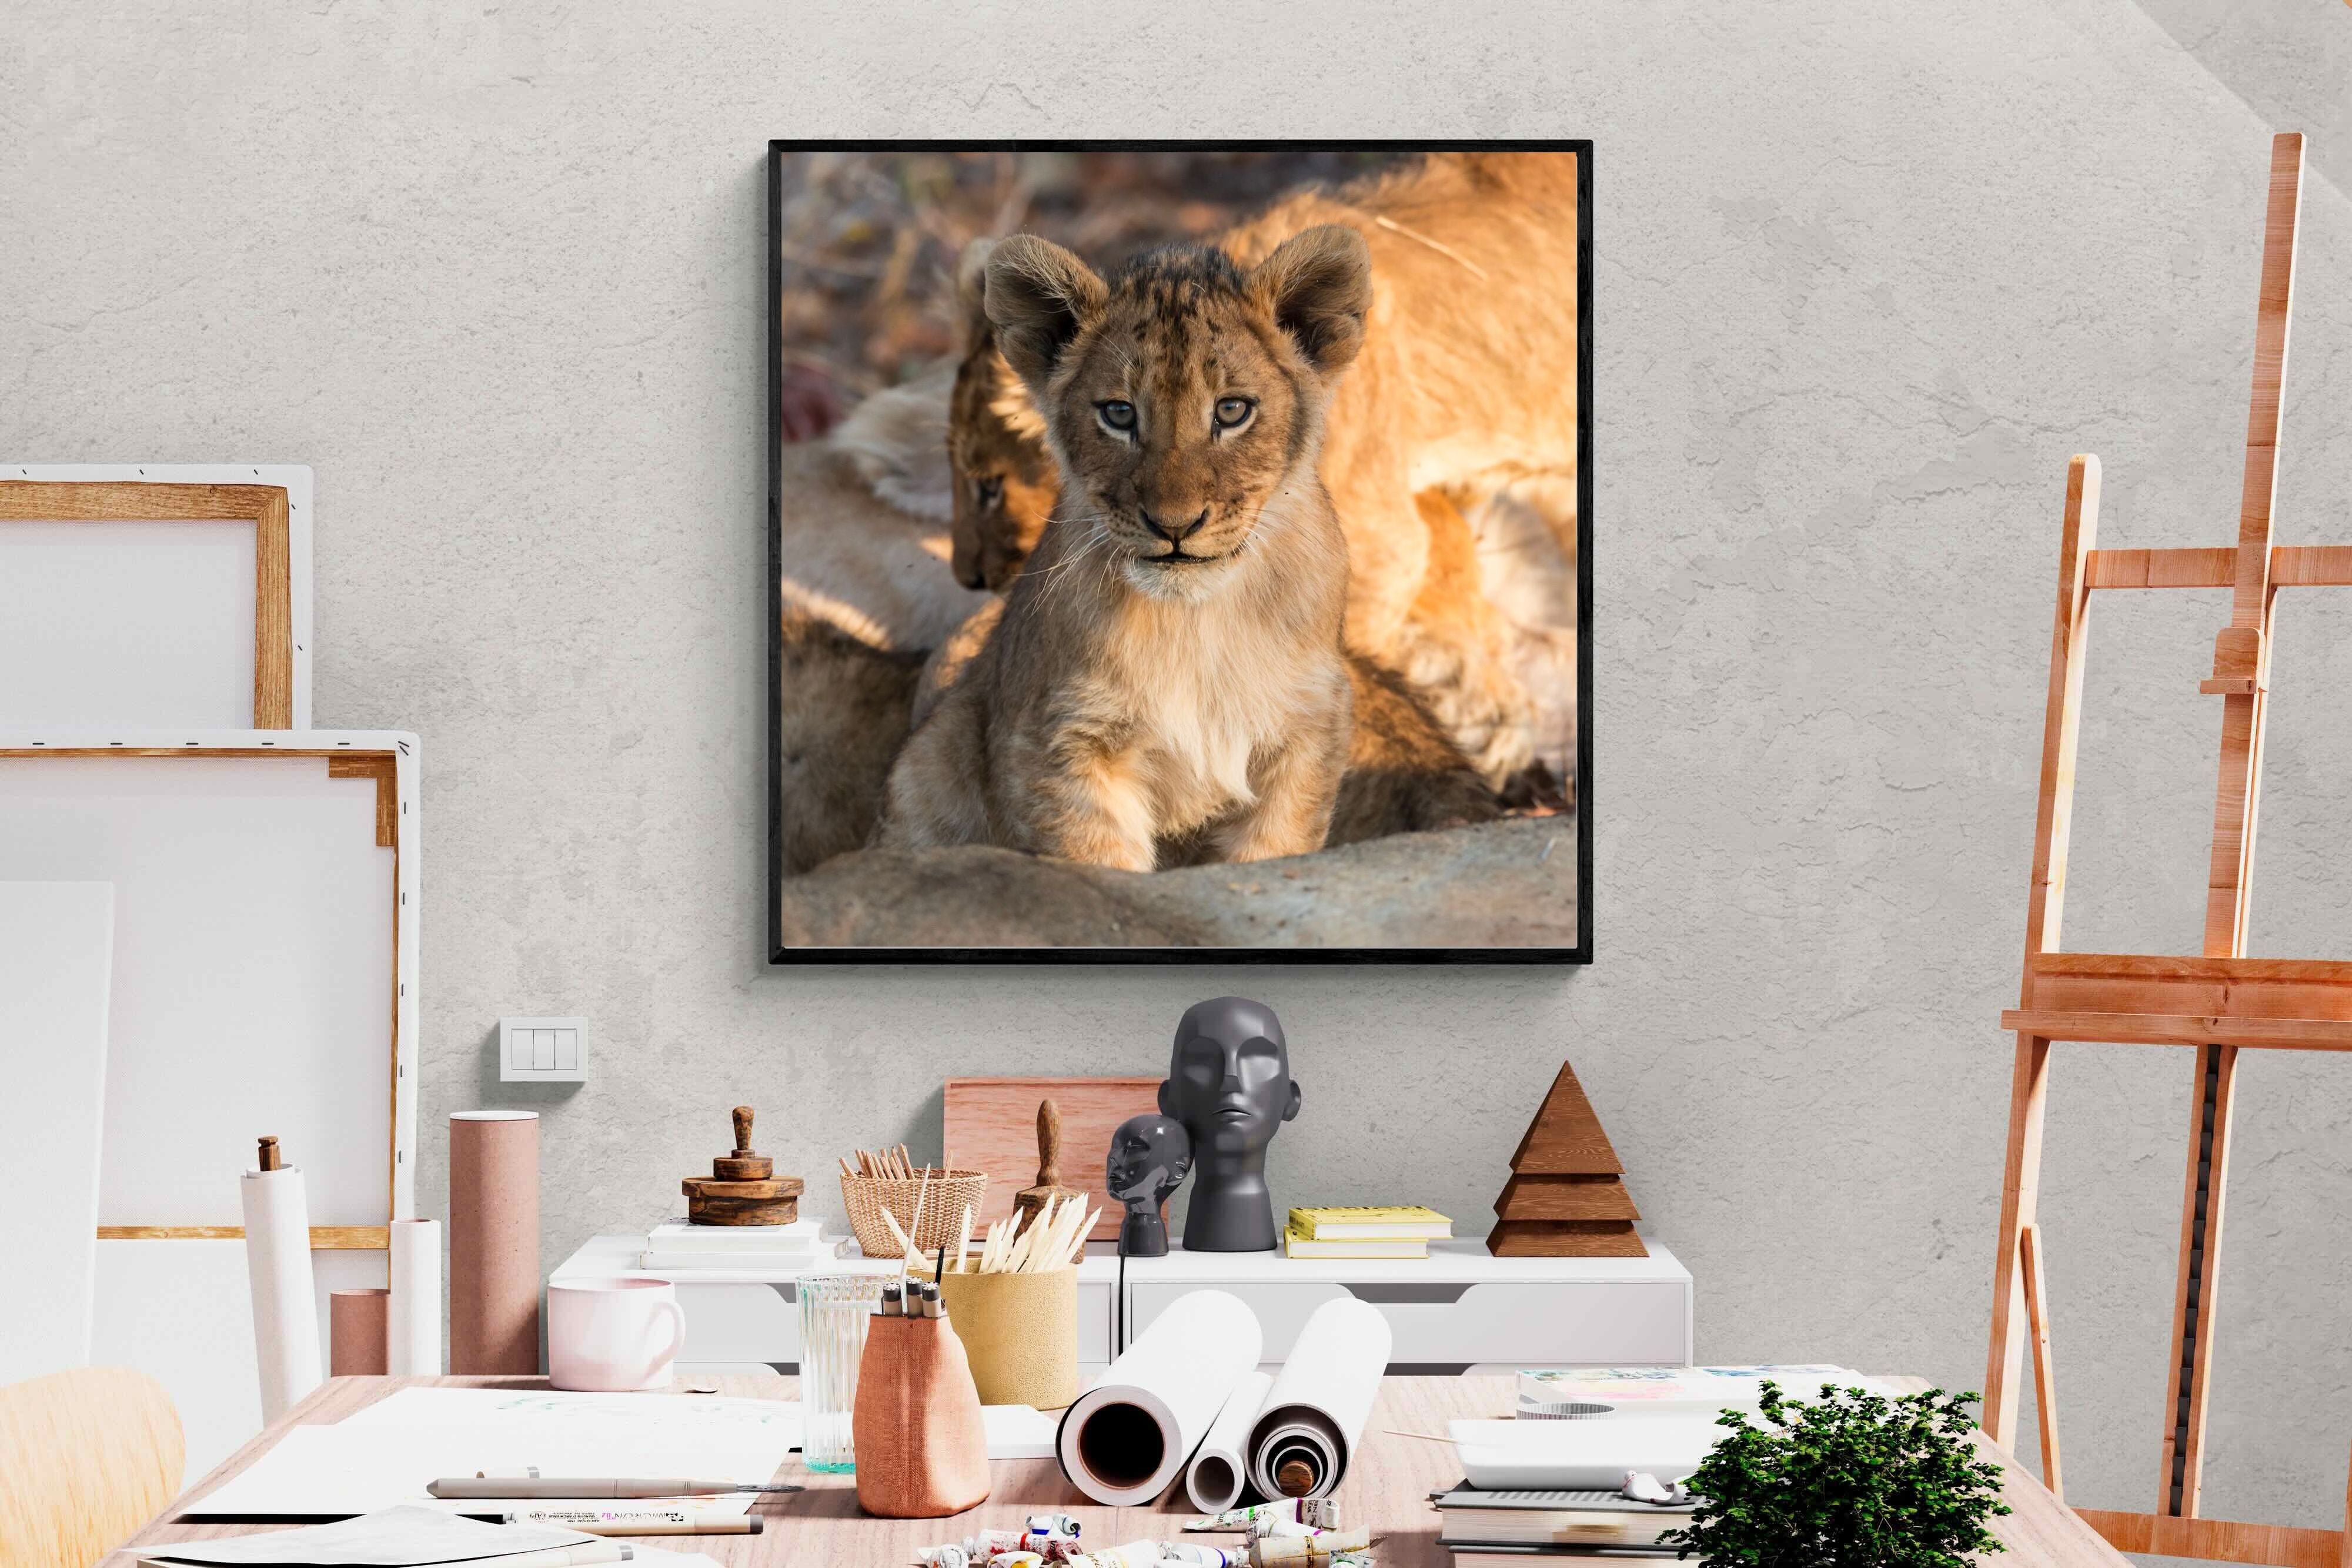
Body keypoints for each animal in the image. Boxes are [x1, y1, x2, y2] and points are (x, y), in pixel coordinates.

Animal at [881, 228, 1374, 870]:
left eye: (1232, 410)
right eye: (1118, 414)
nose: (1175, 525)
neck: (1197, 623)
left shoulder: (1307, 731)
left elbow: (1272, 853)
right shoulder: (1063, 742)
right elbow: (1098, 865)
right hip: (933, 759)